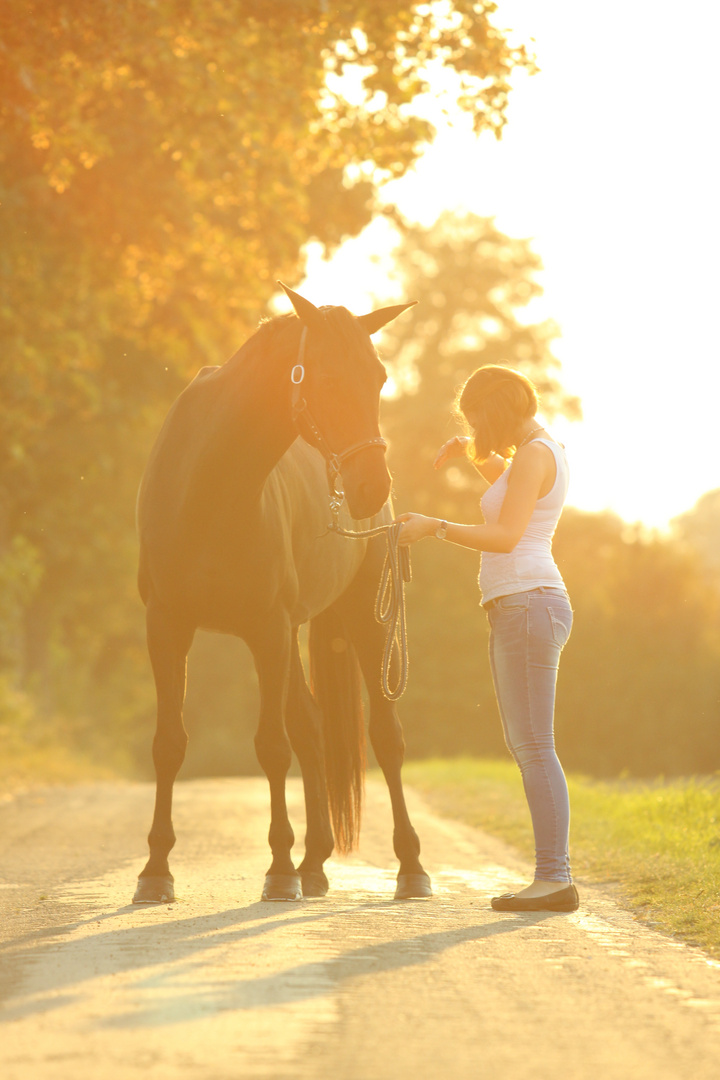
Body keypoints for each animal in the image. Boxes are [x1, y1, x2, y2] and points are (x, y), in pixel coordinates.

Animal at [132, 280, 431, 902]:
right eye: (326, 378)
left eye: (379, 378)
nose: (371, 487)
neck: (210, 486)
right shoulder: (168, 625)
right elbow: (169, 743)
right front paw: (155, 870)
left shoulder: (265, 629)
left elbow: (271, 745)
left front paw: (276, 867)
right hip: (292, 634)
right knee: (313, 729)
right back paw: (313, 862)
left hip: (362, 619)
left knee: (385, 737)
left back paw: (409, 866)